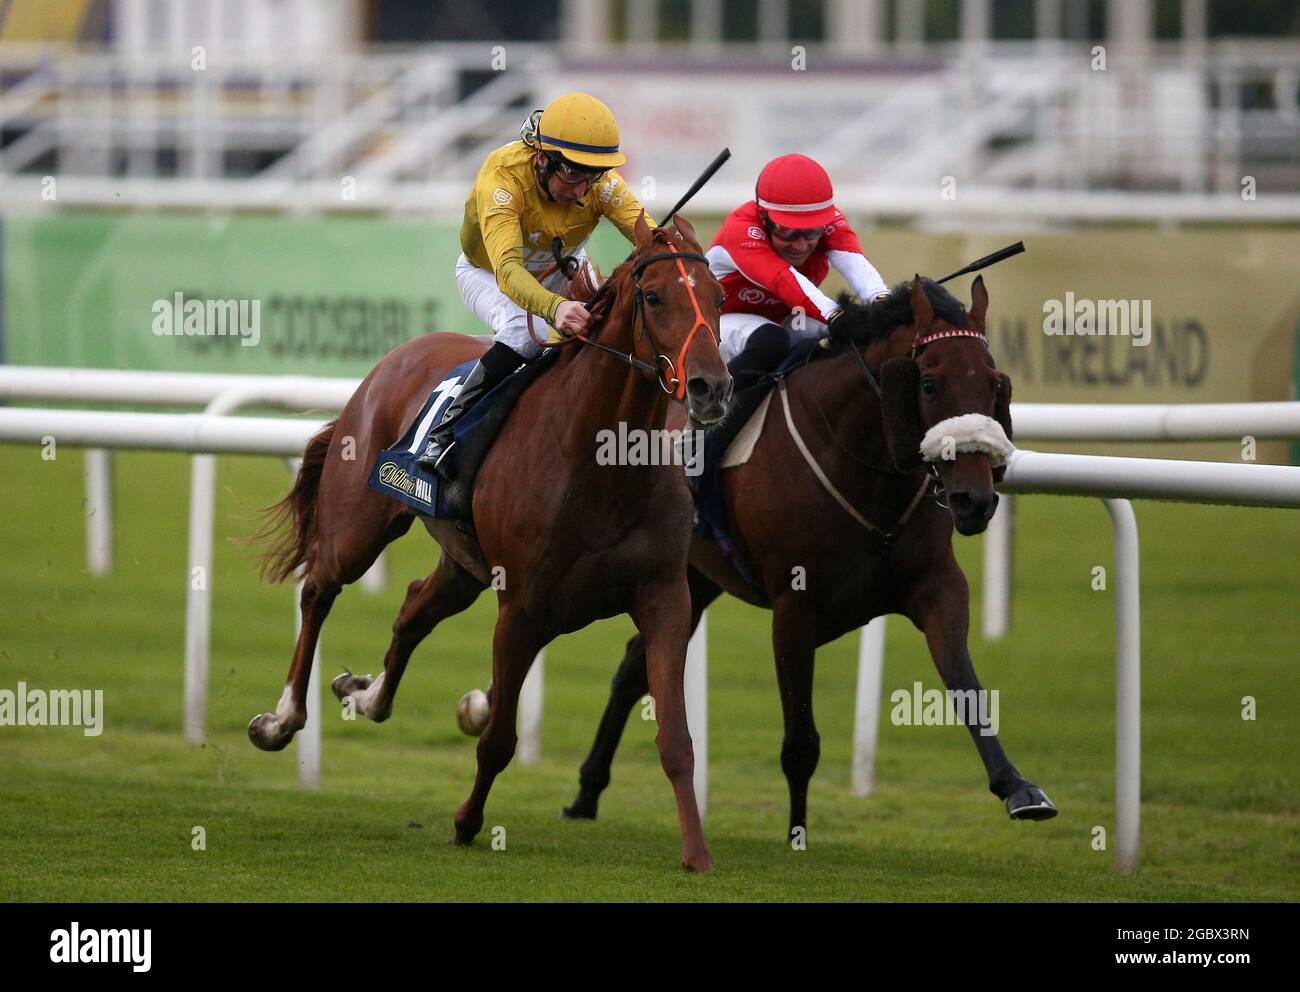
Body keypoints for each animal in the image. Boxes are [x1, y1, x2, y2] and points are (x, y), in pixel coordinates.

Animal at [244, 215, 733, 868]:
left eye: (719, 298)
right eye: (654, 298)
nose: (710, 388)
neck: (602, 464)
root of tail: (396, 357)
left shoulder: (664, 599)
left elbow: (676, 738)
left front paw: (697, 853)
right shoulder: (521, 607)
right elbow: (498, 738)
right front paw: (466, 822)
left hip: (464, 565)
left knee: (413, 608)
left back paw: (367, 696)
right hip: (358, 527)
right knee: (319, 588)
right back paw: (281, 720)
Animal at [559, 273, 1055, 837]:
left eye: (995, 384)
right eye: (929, 384)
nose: (975, 500)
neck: (858, 459)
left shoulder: (938, 585)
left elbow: (966, 685)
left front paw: (1018, 788)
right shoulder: (795, 607)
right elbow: (800, 741)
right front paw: (796, 834)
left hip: (694, 577)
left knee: (631, 670)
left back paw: (587, 792)